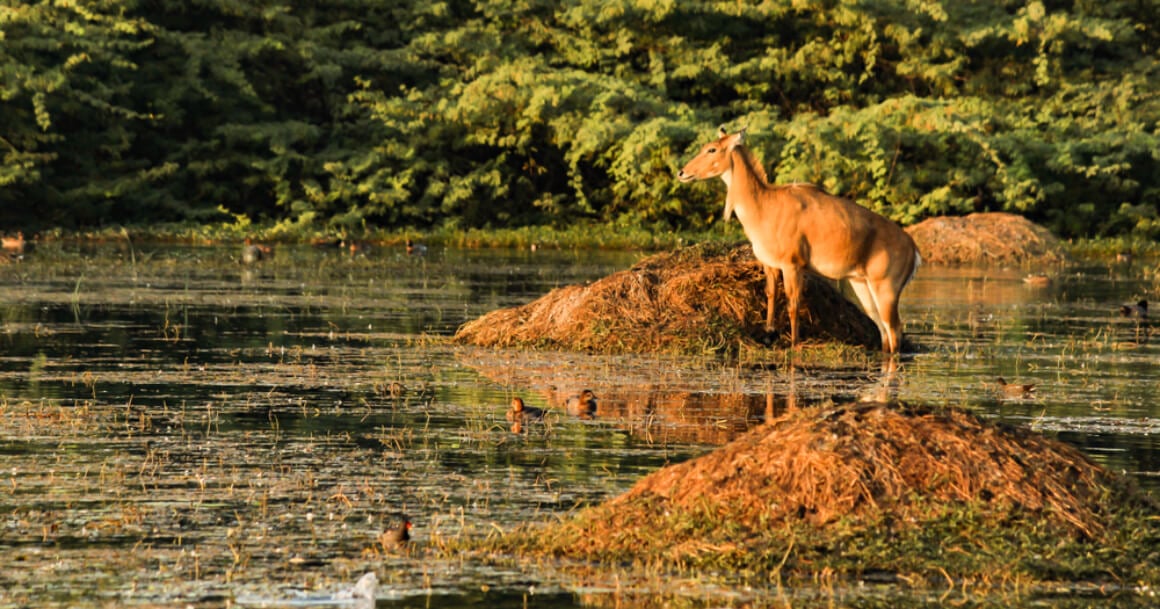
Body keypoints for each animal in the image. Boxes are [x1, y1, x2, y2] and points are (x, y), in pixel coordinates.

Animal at [677, 129, 918, 352]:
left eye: (712, 149)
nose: (682, 172)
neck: (763, 207)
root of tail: (914, 250)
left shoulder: (792, 264)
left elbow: (793, 304)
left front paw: (794, 343)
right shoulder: (770, 264)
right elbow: (771, 294)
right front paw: (769, 333)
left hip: (886, 287)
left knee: (895, 330)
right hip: (862, 284)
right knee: (883, 330)